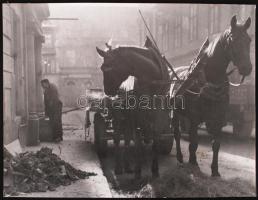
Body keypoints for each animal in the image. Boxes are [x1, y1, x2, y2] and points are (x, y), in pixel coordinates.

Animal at [95, 40, 170, 178]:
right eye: (102, 68)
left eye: (109, 67)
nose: (107, 91)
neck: (151, 78)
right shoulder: (137, 112)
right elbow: (137, 140)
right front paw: (138, 170)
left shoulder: (158, 111)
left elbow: (155, 136)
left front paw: (155, 169)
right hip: (119, 114)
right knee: (118, 137)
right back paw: (119, 167)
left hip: (128, 116)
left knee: (127, 137)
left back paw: (127, 166)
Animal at [171, 14, 252, 176]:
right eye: (233, 39)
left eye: (249, 40)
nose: (247, 68)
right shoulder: (194, 116)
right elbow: (193, 142)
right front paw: (193, 163)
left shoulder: (219, 117)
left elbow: (216, 144)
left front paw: (215, 170)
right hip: (176, 113)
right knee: (177, 134)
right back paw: (180, 157)